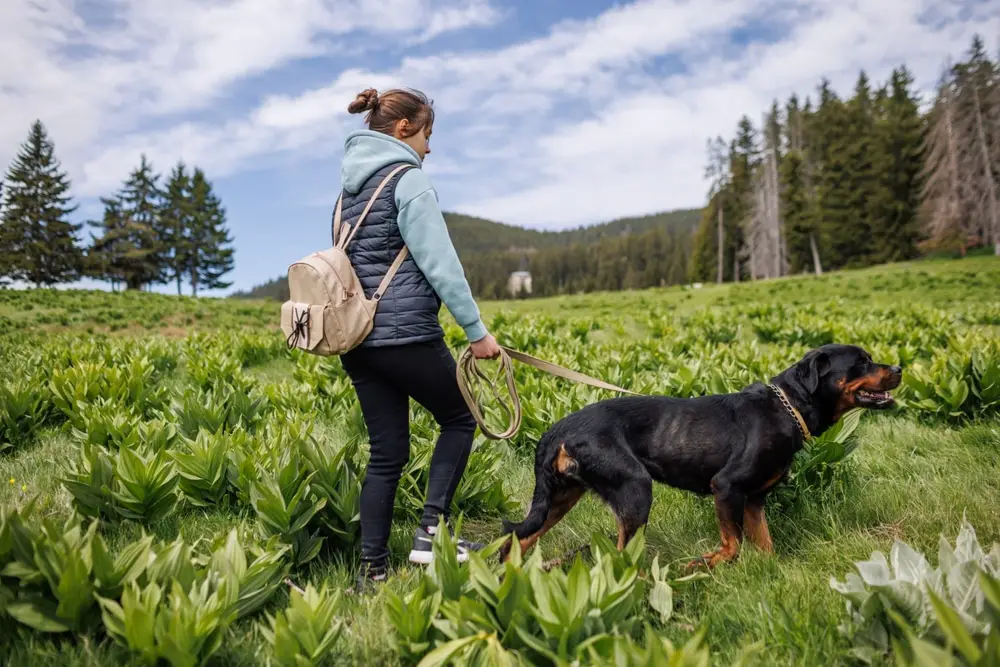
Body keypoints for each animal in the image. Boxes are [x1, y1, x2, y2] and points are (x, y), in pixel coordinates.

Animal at [498, 344, 900, 568]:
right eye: (861, 363)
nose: (898, 369)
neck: (788, 408)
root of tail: (557, 429)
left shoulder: (754, 500)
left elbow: (764, 544)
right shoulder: (726, 486)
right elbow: (733, 544)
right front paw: (704, 563)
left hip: (558, 498)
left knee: (518, 540)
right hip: (634, 489)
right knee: (621, 554)